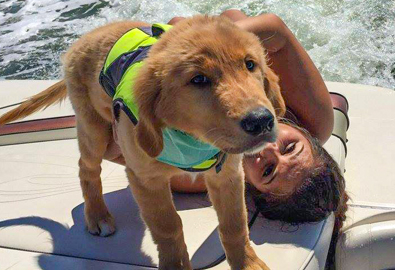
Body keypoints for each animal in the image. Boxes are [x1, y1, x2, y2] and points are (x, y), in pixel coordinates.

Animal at [0, 15, 284, 270]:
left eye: (250, 64)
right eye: (199, 79)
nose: (261, 121)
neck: (189, 136)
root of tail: (82, 40)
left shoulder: (227, 173)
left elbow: (234, 225)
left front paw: (247, 264)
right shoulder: (145, 179)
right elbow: (168, 227)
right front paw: (175, 266)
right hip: (95, 130)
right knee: (86, 167)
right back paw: (97, 215)